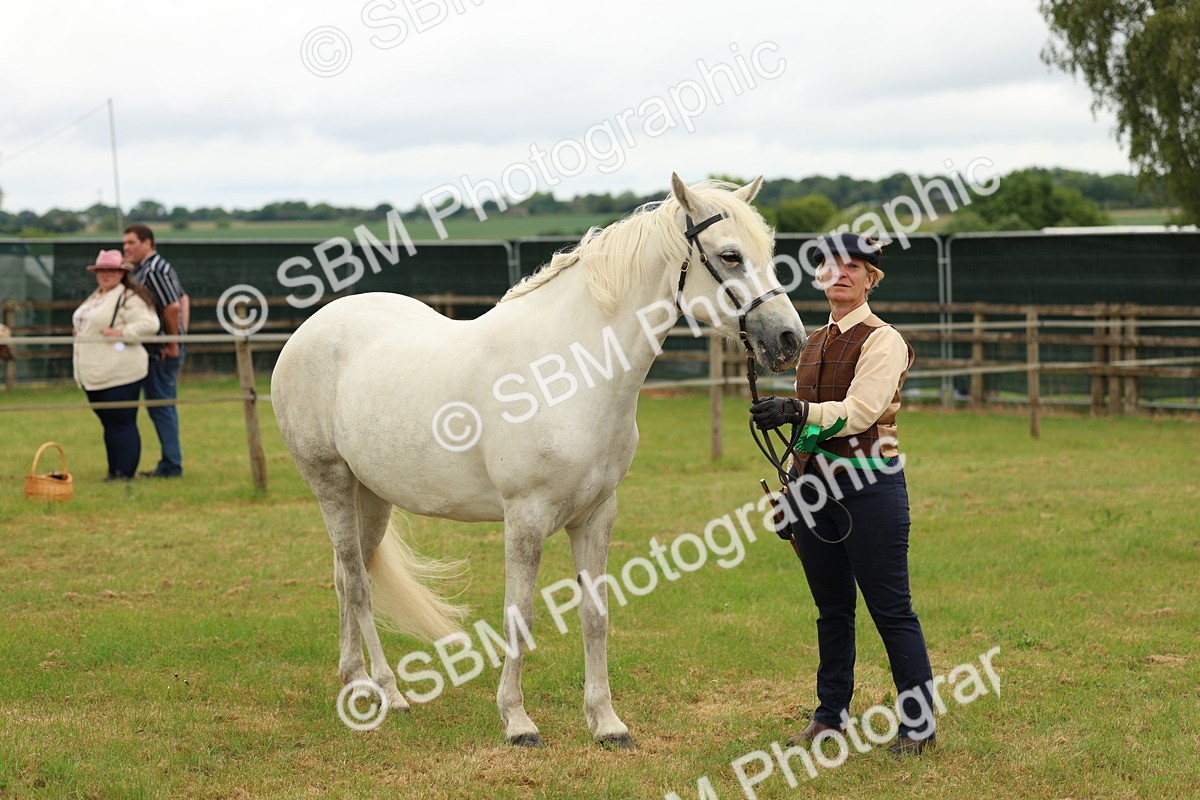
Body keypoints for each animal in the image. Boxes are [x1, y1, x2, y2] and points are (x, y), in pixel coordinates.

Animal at [271, 174, 806, 749]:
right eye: (730, 255)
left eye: (768, 250)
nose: (790, 340)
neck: (569, 370)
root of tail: (310, 328)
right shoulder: (524, 517)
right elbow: (519, 614)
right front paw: (517, 721)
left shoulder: (596, 515)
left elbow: (596, 614)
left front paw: (607, 723)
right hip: (329, 481)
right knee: (356, 580)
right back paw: (387, 692)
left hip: (371, 495)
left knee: (348, 575)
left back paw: (357, 683)